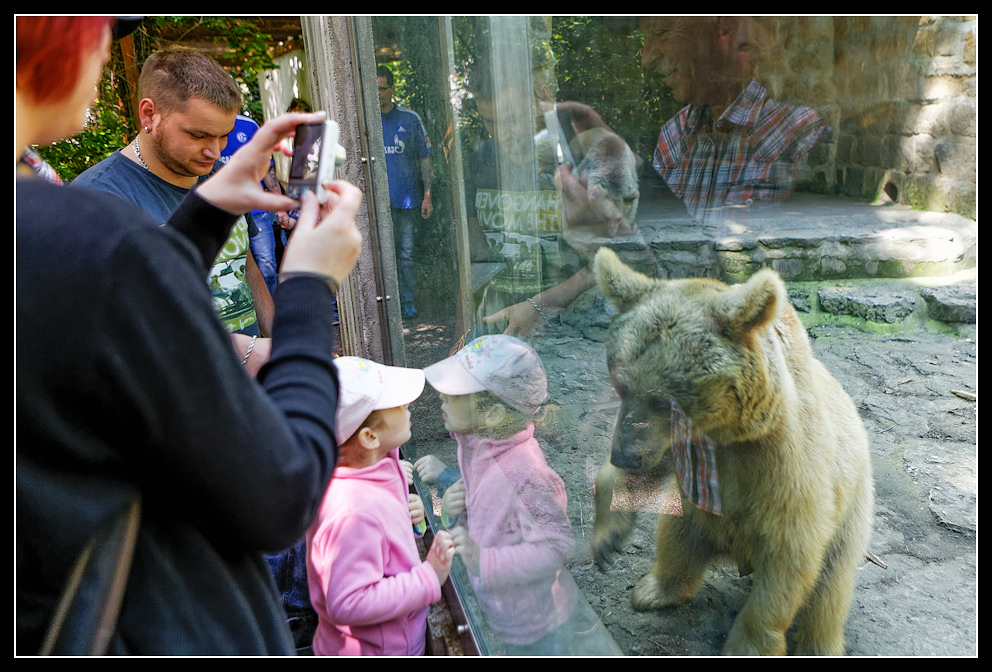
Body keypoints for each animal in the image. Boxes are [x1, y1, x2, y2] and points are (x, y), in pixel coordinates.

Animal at [588, 249, 876, 652]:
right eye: (620, 385)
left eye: (663, 401)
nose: (623, 455)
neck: (728, 432)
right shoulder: (687, 449)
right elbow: (649, 473)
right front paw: (607, 535)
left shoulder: (786, 466)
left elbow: (790, 557)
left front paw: (748, 644)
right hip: (697, 515)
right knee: (676, 536)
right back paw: (654, 590)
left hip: (850, 516)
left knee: (828, 593)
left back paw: (820, 644)